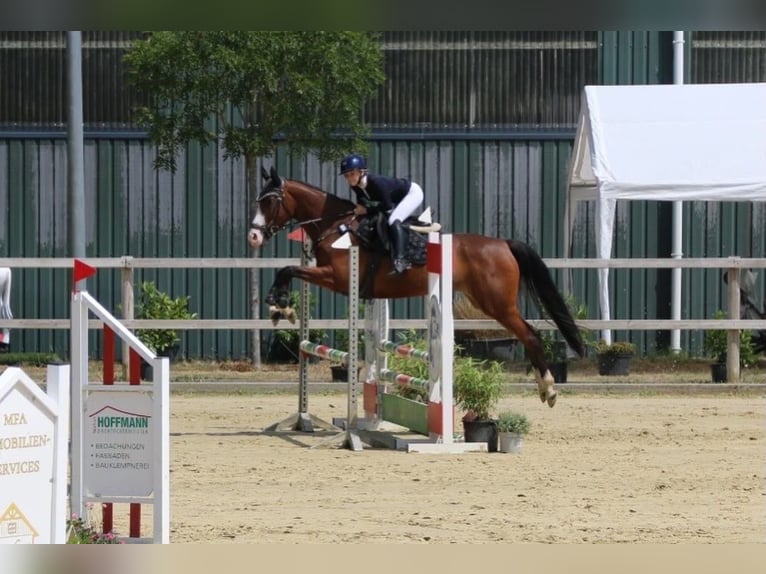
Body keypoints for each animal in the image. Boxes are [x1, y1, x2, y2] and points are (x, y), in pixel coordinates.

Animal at [248, 165, 584, 407]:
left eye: (270, 201)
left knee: (530, 334)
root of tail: (503, 244)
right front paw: (281, 307)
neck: (336, 226)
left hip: (497, 304)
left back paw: (548, 389)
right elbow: (289, 270)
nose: (253, 237)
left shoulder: (336, 277)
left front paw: (279, 304)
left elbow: (289, 269)